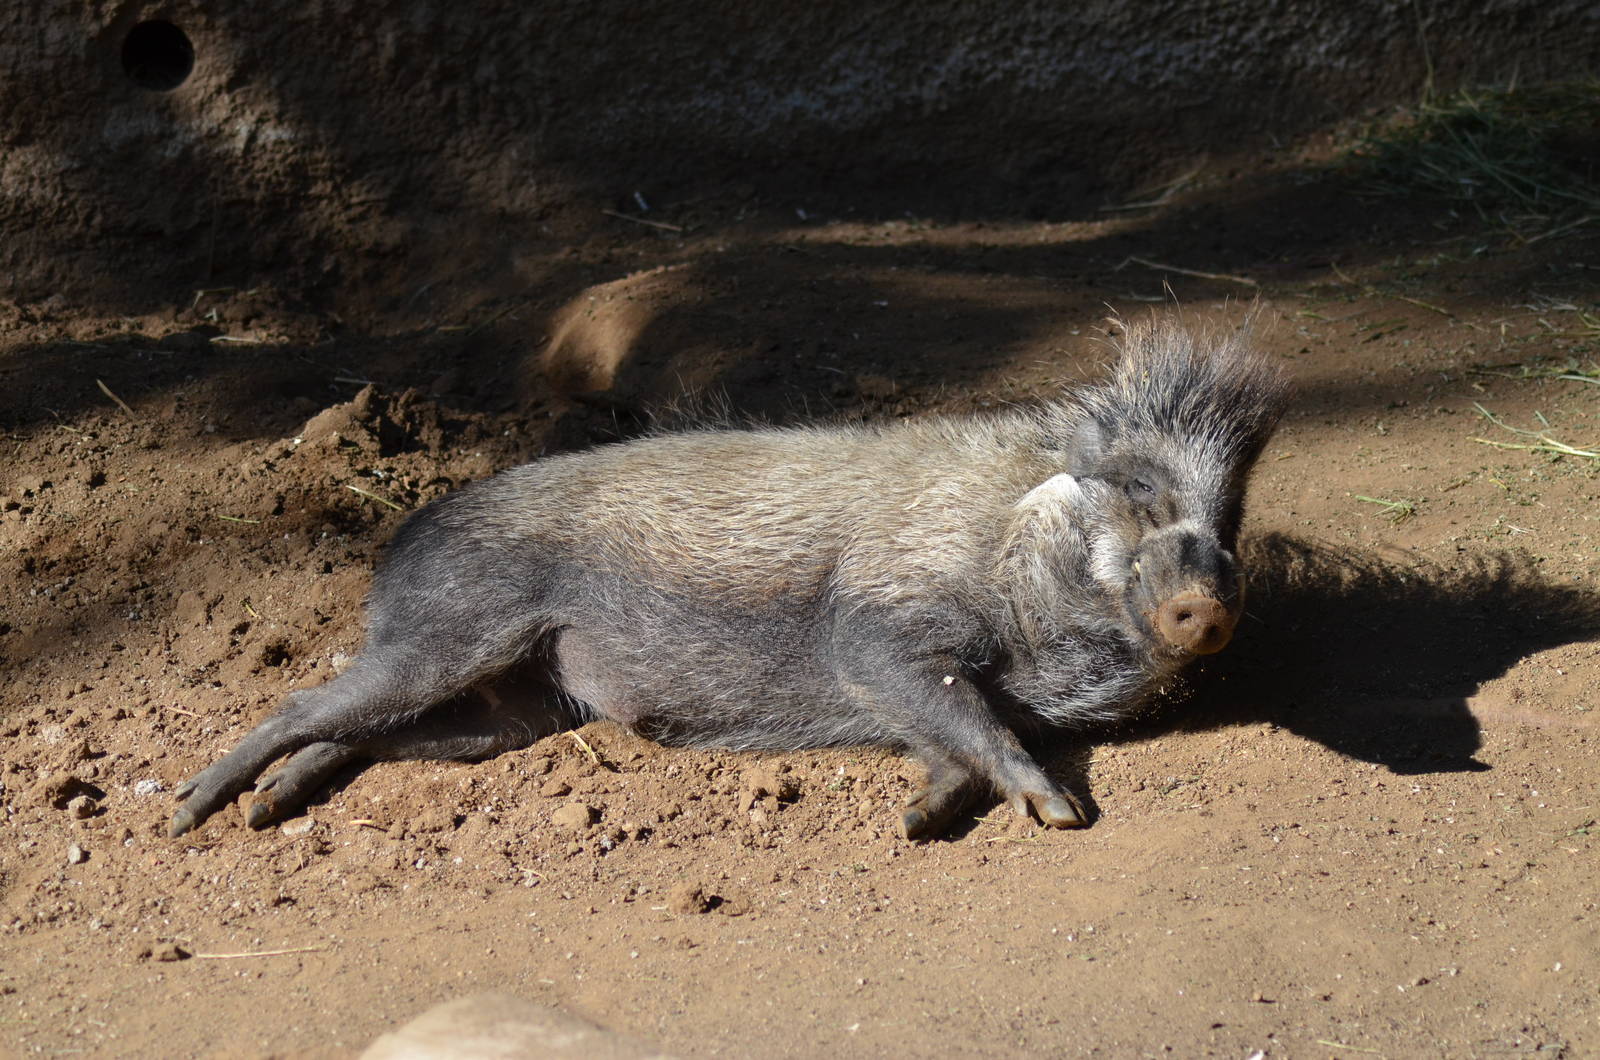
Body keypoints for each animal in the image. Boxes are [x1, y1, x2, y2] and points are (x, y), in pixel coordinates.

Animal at [170, 314, 1289, 841]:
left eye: (1228, 518)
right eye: (1136, 489)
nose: (1205, 604)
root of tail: (404, 537)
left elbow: (953, 741)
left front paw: (912, 821)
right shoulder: (878, 629)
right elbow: (969, 720)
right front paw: (1062, 815)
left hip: (516, 708)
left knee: (366, 733)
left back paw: (267, 807)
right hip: (451, 630)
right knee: (302, 701)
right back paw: (191, 811)